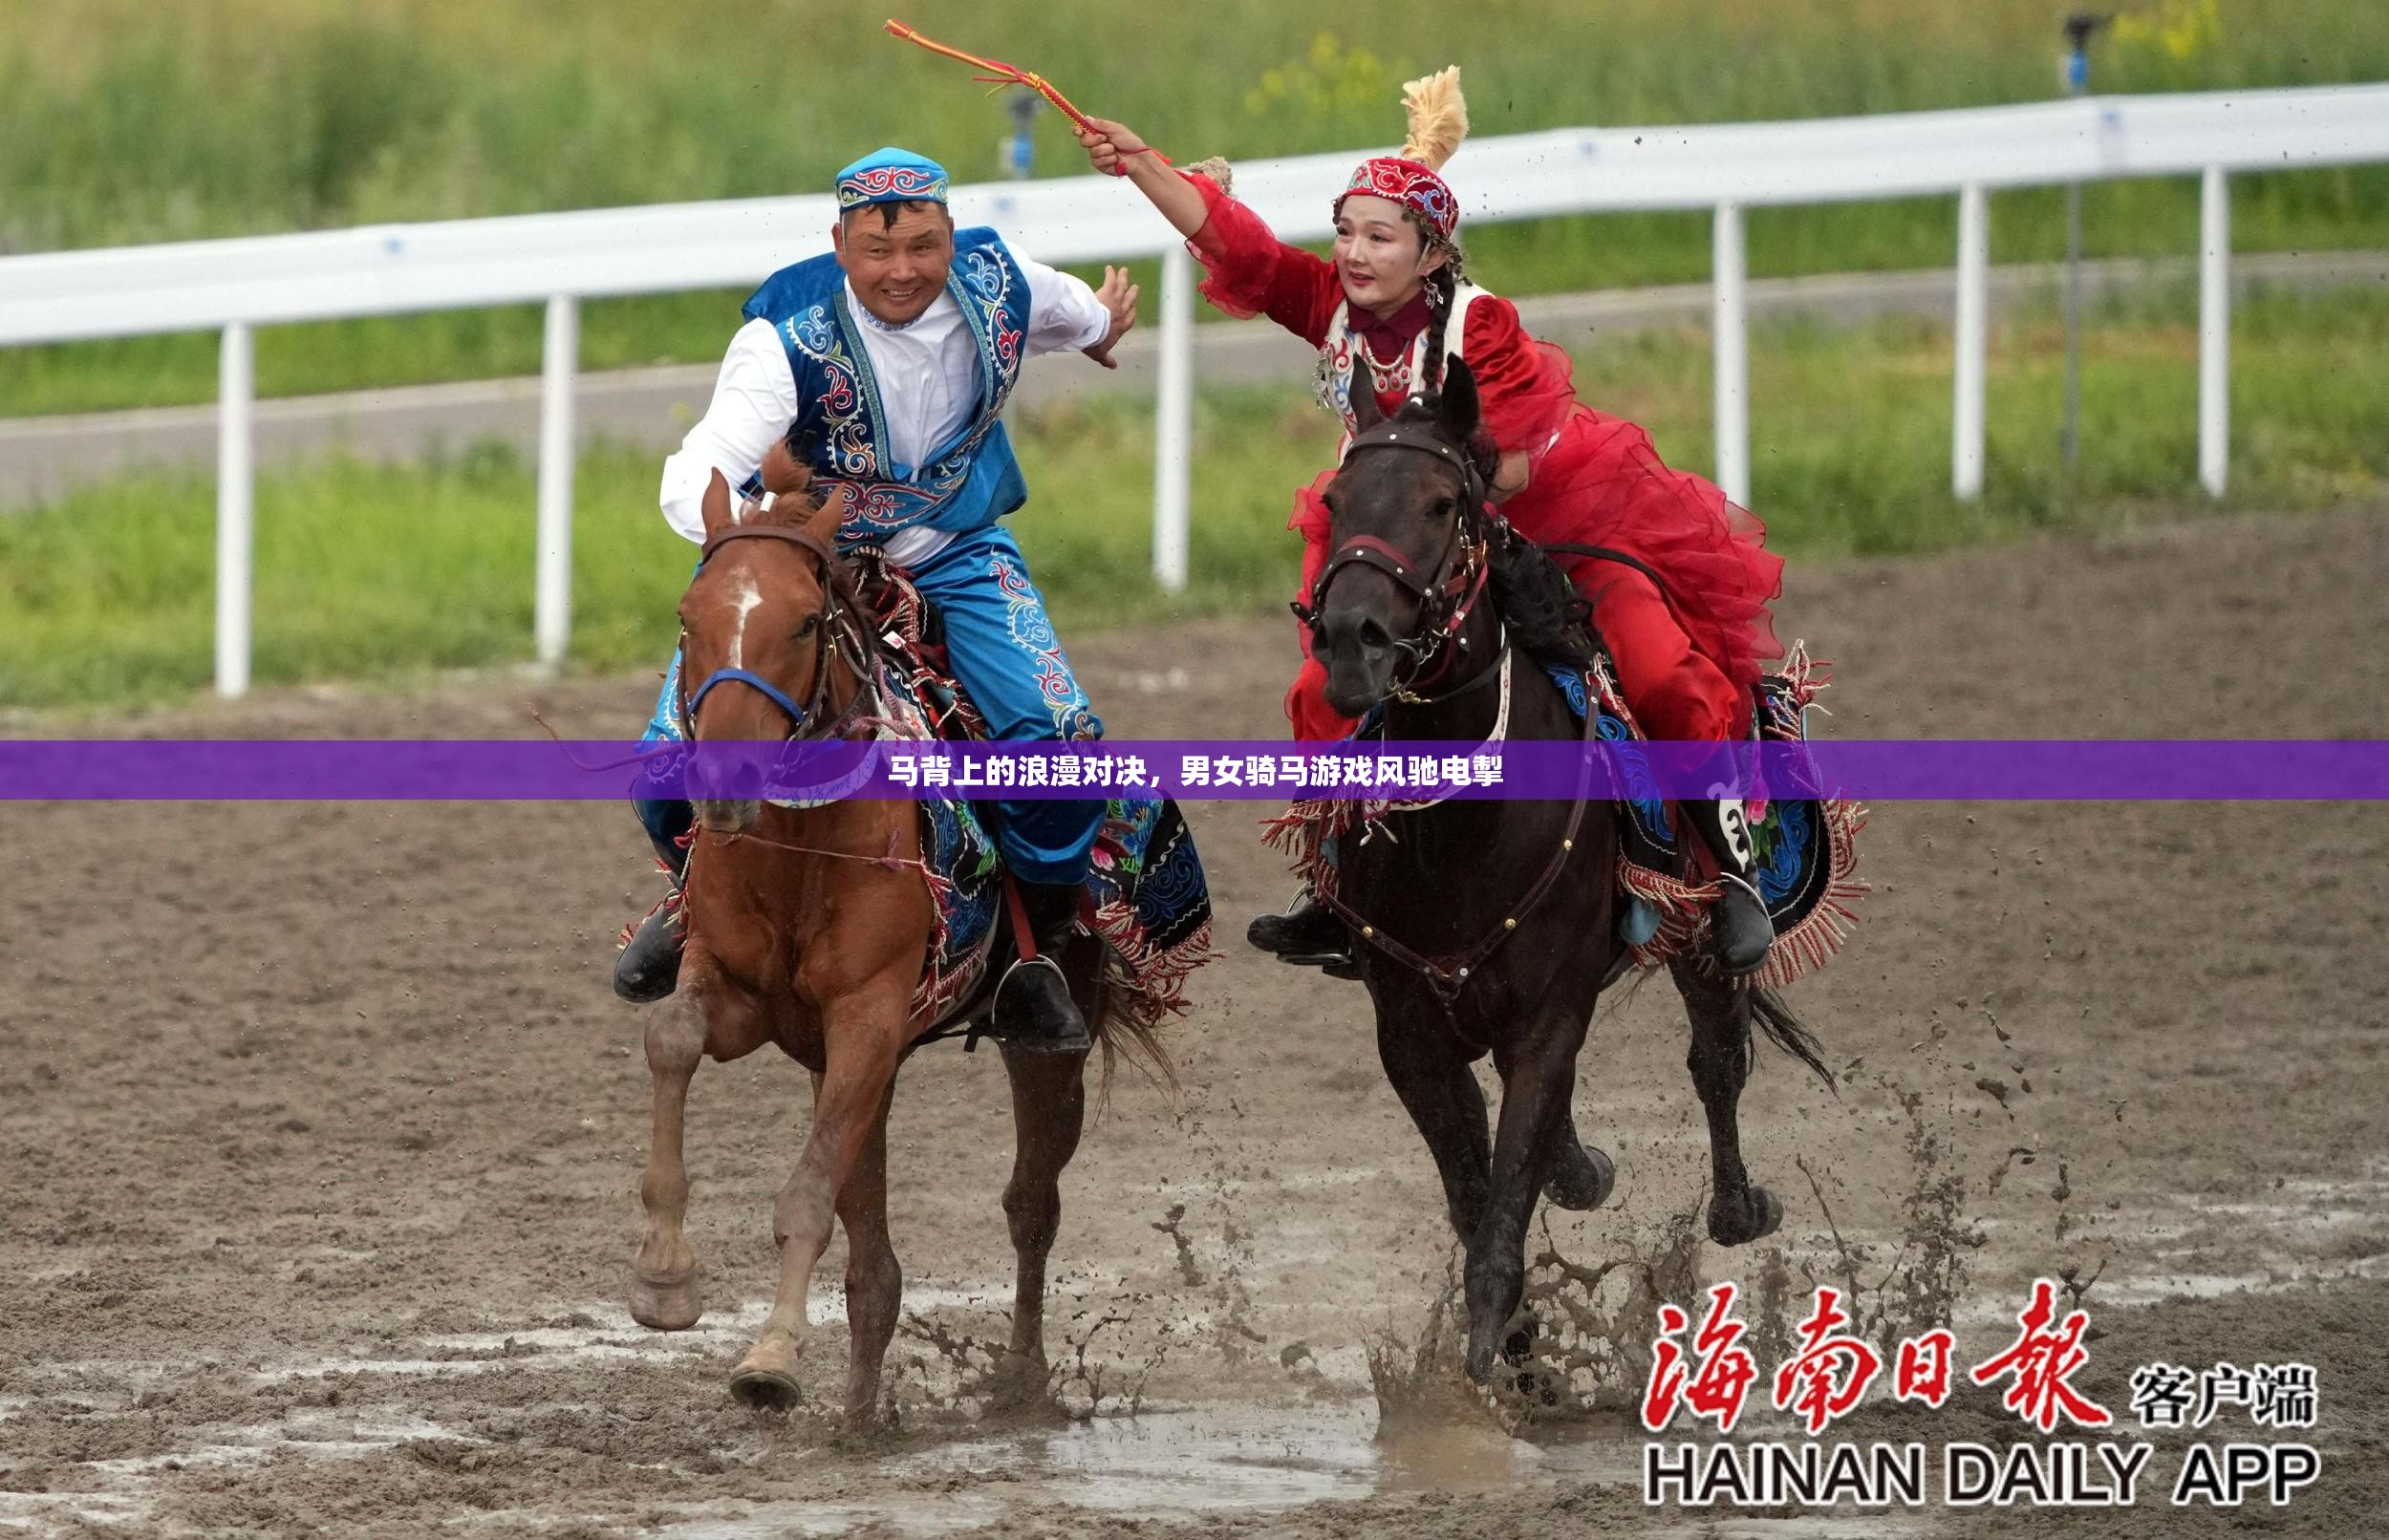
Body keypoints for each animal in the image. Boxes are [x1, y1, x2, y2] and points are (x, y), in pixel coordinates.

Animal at [631, 451, 1123, 1422]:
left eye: (805, 620)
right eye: (687, 617)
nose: (726, 783)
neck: (801, 852)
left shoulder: (868, 1016)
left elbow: (807, 1199)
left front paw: (772, 1356)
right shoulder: (748, 999)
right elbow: (671, 1036)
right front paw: (664, 1277)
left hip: (1043, 1048)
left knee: (1030, 1207)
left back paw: (1021, 1381)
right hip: (860, 1068)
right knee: (879, 1266)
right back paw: (860, 1414)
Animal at [1309, 360, 1825, 1384]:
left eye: (1440, 503)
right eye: (1337, 501)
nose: (1351, 639)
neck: (1459, 837)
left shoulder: (1548, 1019)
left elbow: (1503, 1218)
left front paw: (1491, 1378)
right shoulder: (1410, 1034)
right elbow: (1475, 1200)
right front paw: (1516, 1352)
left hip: (1702, 941)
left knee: (1717, 1061)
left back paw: (1738, 1206)